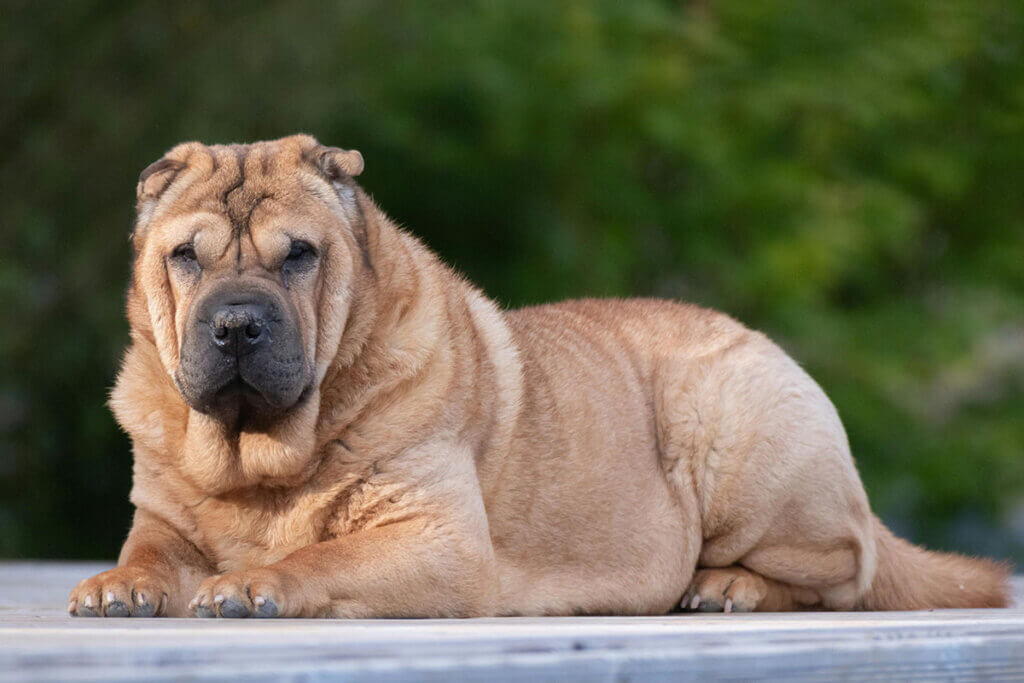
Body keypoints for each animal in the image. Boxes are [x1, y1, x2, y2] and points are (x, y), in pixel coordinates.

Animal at [66, 135, 1007, 618]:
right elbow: (149, 551)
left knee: (843, 572)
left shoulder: (436, 541)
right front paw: (117, 586)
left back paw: (726, 586)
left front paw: (254, 581)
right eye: (185, 257)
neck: (260, 456)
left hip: (743, 435)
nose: (235, 323)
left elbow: (320, 555)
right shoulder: (164, 520)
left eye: (299, 255)